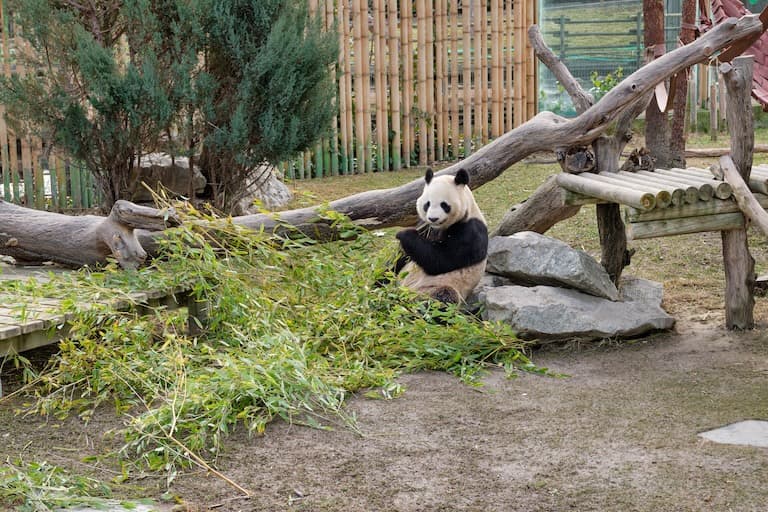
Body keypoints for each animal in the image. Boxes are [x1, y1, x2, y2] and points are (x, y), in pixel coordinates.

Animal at [393, 167, 488, 304]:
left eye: (444, 205)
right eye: (427, 204)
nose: (433, 218)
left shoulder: (471, 231)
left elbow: (441, 259)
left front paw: (404, 234)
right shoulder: (425, 225)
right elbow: (401, 257)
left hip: (434, 287)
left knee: (444, 295)